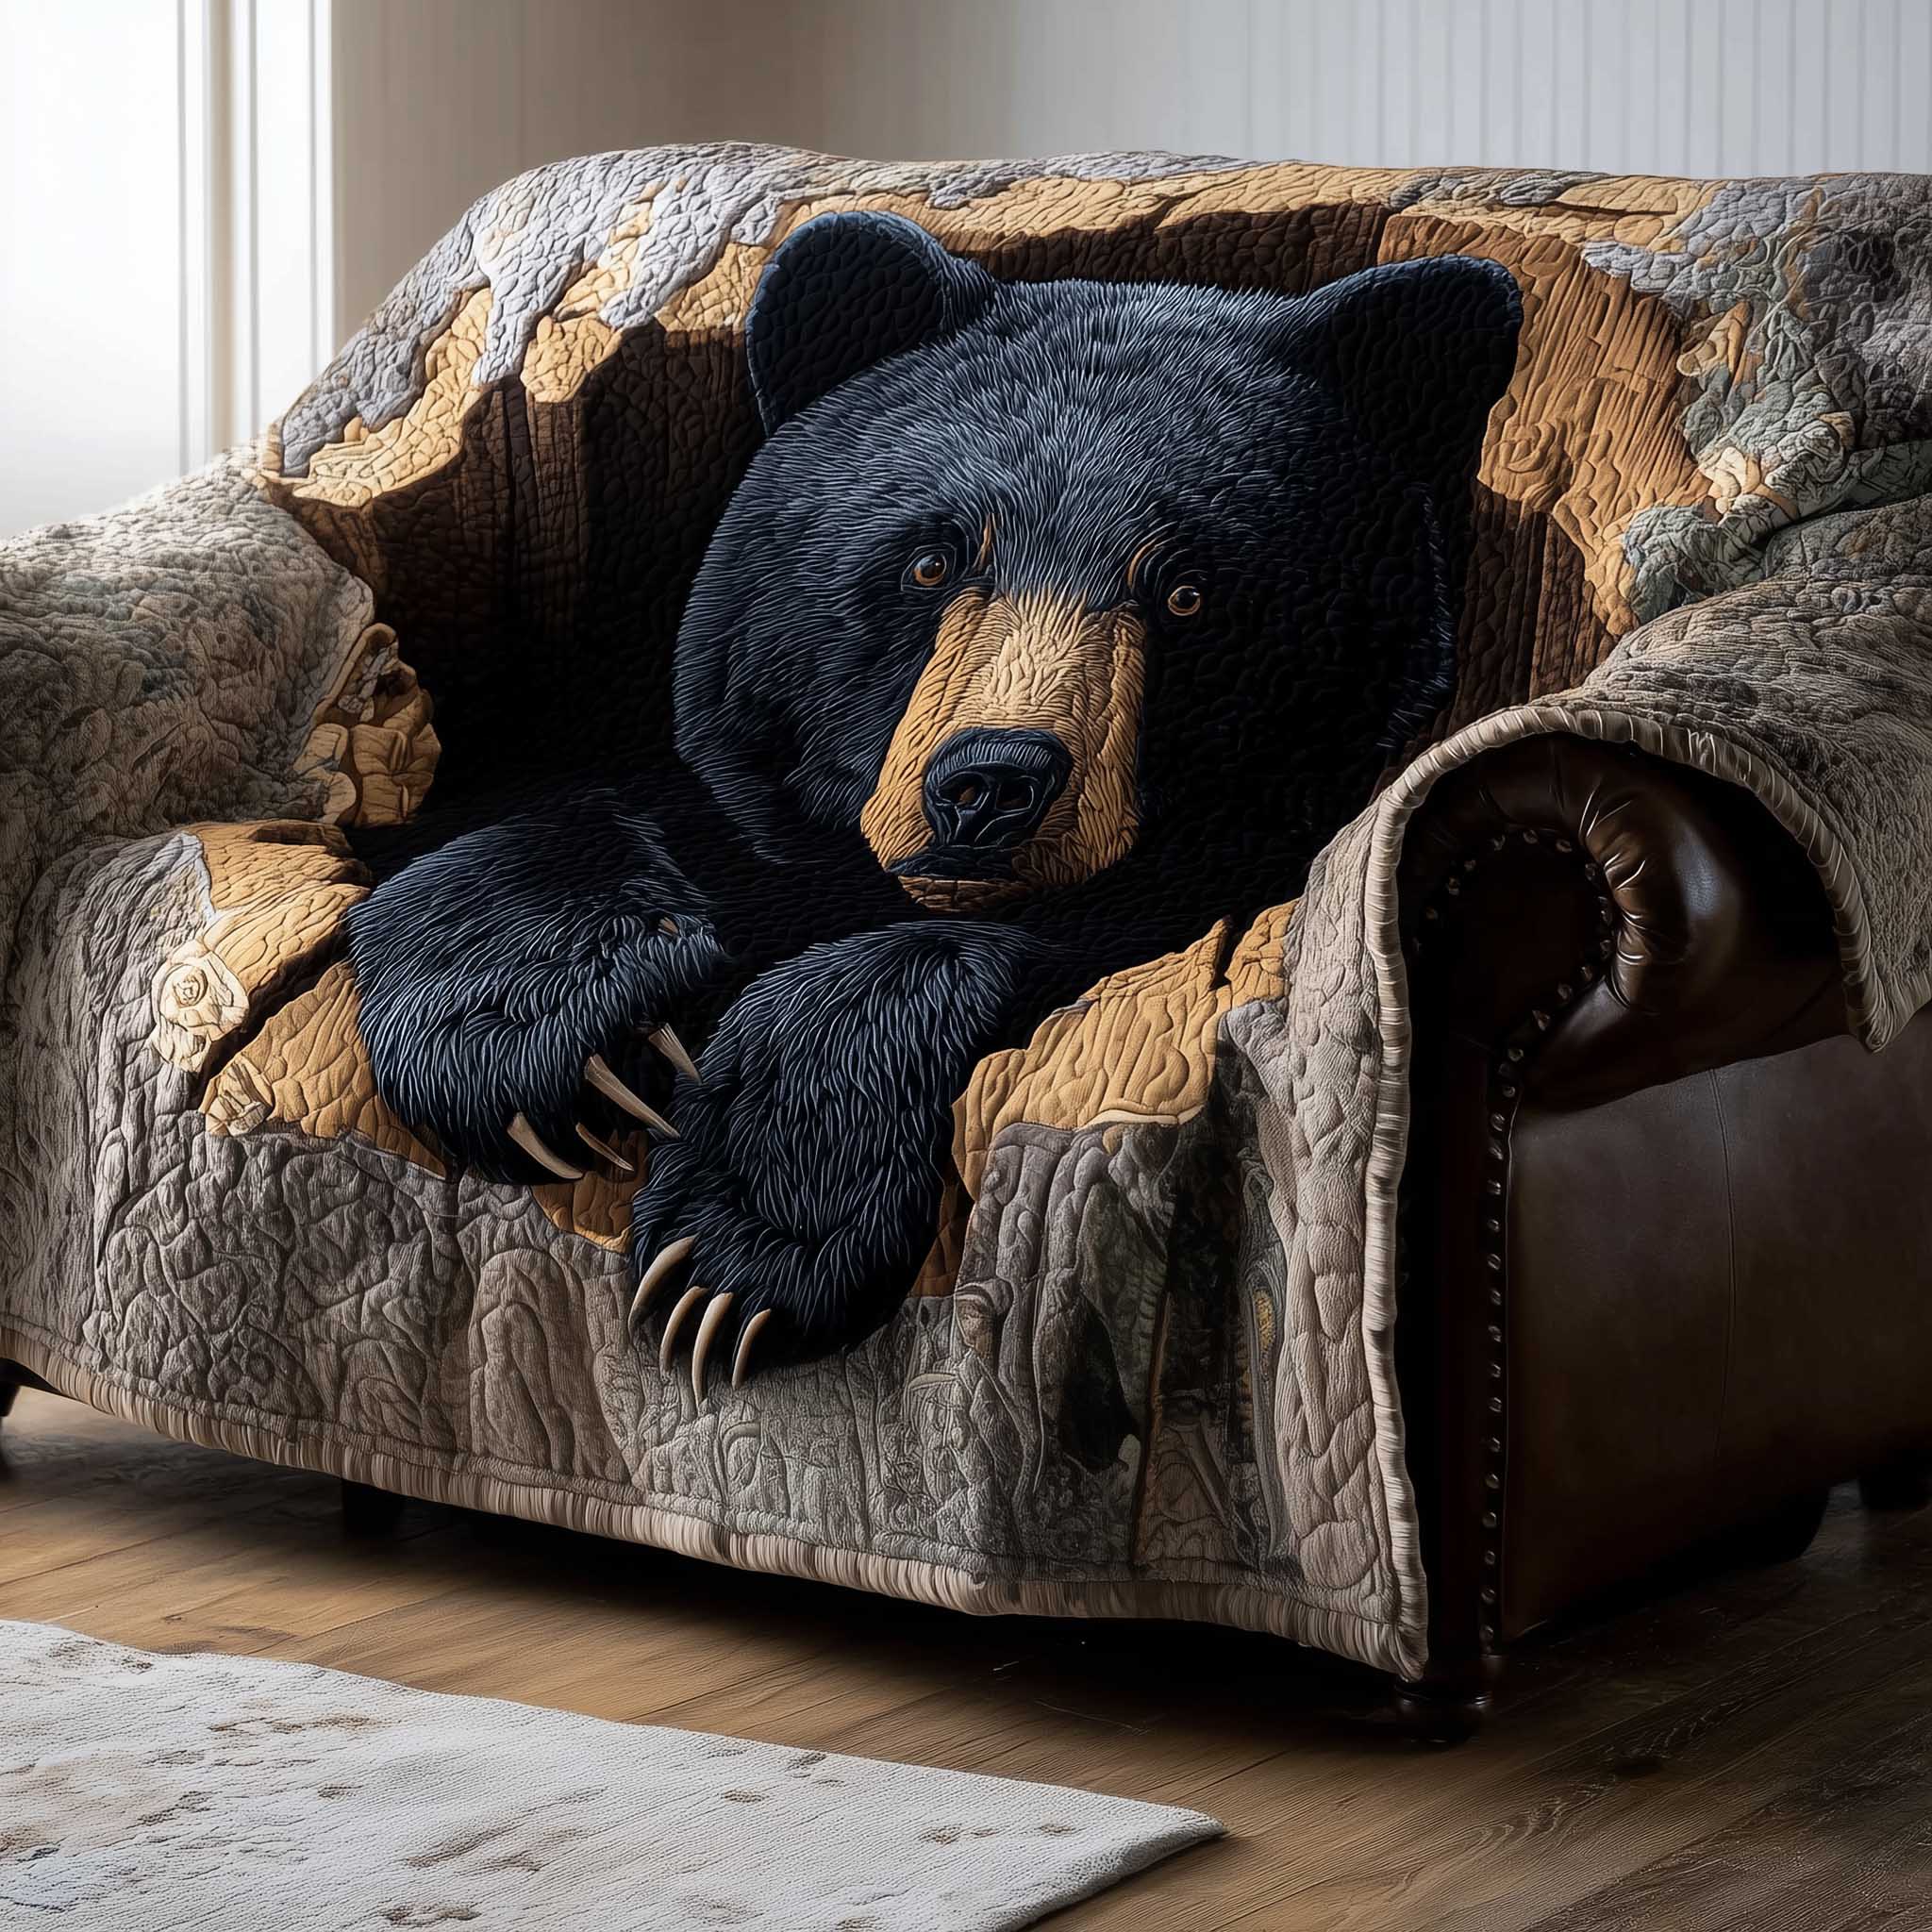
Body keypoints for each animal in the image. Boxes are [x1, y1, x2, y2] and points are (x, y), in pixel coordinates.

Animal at [345, 211, 1522, 1398]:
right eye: (927, 560)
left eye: (1188, 592)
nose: (989, 782)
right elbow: (553, 833)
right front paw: (535, 1043)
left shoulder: (1191, 885)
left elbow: (978, 958)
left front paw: (739, 1251)